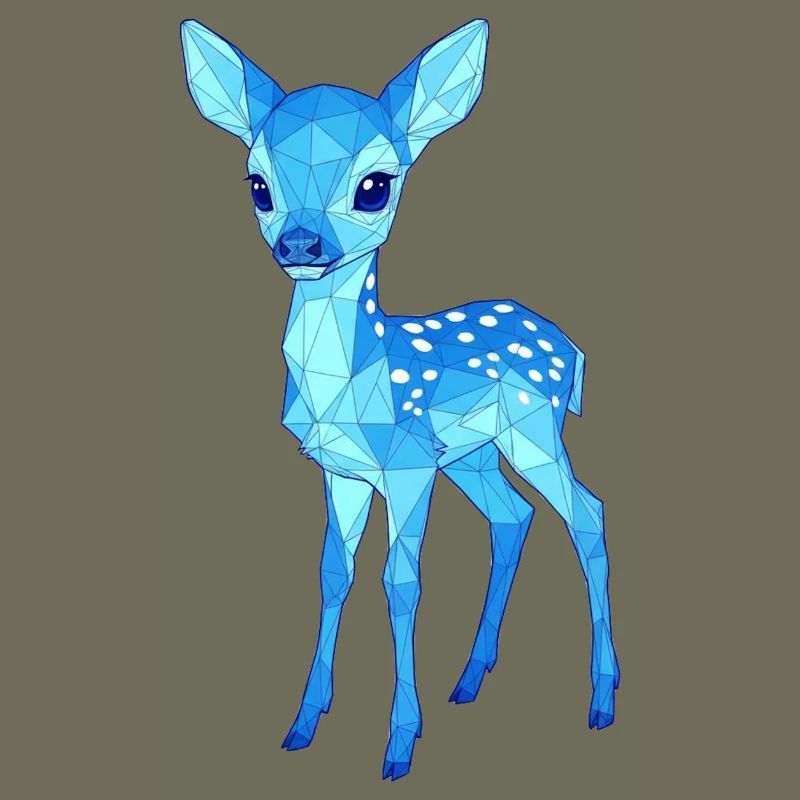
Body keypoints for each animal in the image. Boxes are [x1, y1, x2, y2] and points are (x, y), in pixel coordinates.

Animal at [180, 17, 619, 780]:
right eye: (258, 184)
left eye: (375, 186)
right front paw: (303, 723)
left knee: (586, 514)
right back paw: (469, 680)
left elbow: (402, 584)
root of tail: (569, 346)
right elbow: (333, 573)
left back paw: (600, 700)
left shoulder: (408, 463)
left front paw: (398, 746)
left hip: (533, 431)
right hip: (472, 455)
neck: (352, 382)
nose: (300, 242)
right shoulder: (343, 472)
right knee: (513, 518)